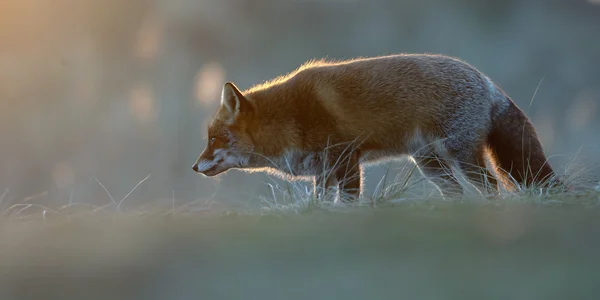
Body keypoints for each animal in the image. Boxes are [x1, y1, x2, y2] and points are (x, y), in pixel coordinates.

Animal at [192, 53, 556, 202]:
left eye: (216, 139)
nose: (194, 167)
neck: (290, 118)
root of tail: (487, 81)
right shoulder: (324, 170)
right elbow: (321, 201)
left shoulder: (345, 160)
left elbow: (346, 201)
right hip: (431, 165)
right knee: (457, 192)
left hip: (462, 157)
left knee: (491, 187)